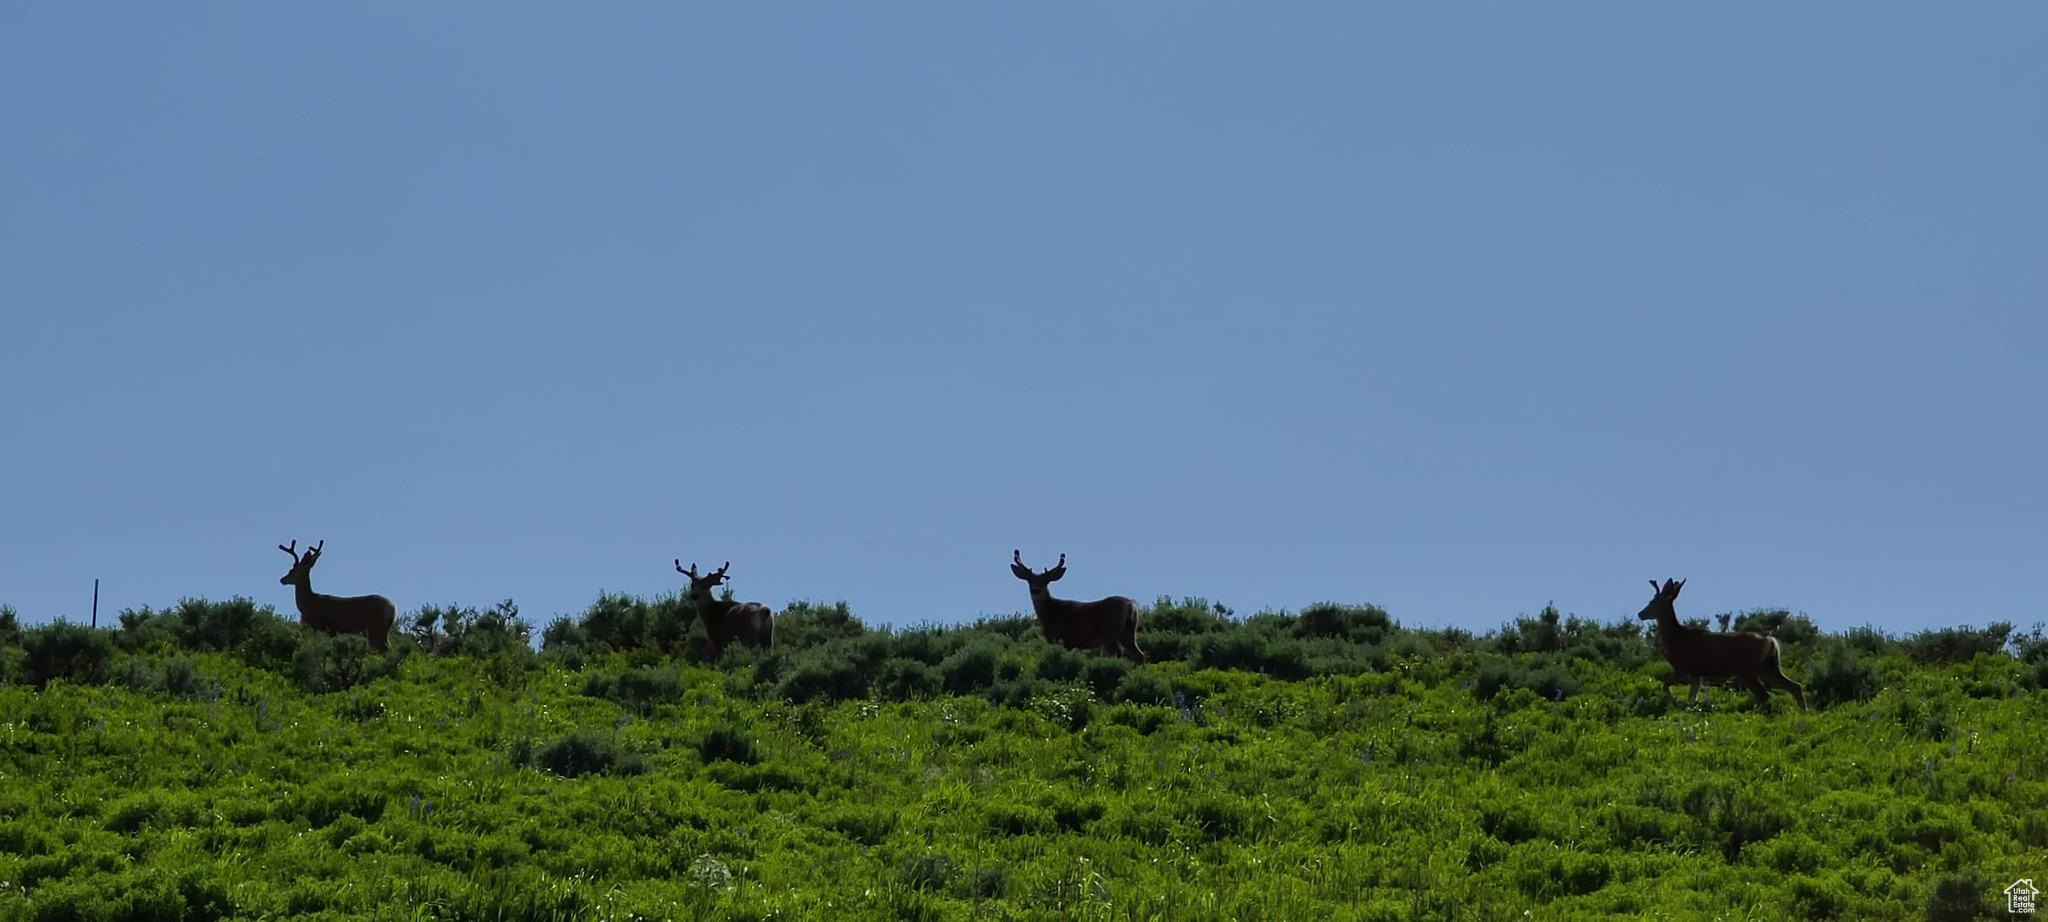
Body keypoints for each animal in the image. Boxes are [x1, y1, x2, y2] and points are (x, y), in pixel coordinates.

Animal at [1011, 549, 1146, 663]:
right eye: (1029, 581)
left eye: (1046, 581)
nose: (1035, 590)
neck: (1050, 613)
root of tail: (1131, 605)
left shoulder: (1060, 639)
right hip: (1129, 631)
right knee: (1140, 654)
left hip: (1110, 632)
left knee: (1119, 654)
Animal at [1638, 577, 1802, 713]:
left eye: (1652, 602)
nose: (1640, 614)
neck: (1675, 637)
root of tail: (1770, 640)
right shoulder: (1697, 673)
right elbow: (1692, 696)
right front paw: (1689, 709)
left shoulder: (1683, 667)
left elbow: (1665, 685)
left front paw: (1677, 703)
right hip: (1768, 667)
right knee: (1794, 686)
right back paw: (1802, 712)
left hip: (1748, 669)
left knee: (1764, 695)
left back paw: (1754, 714)